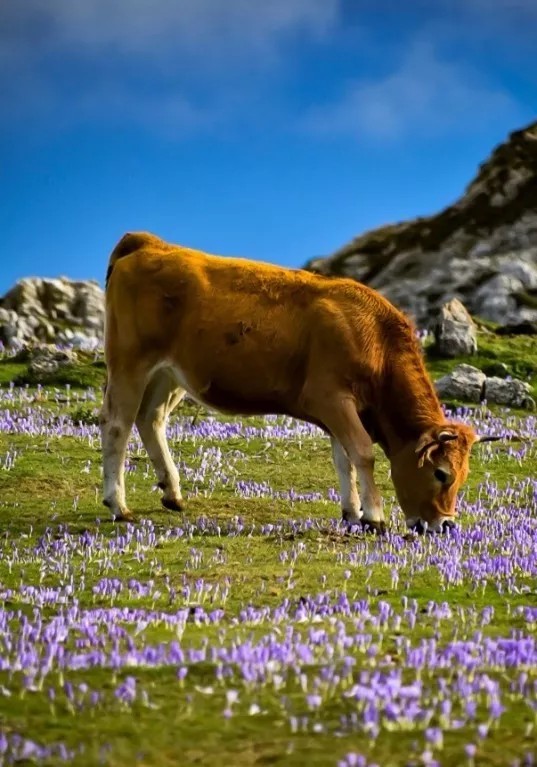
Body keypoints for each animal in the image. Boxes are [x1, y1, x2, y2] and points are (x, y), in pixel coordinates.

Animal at [99, 231, 494, 536]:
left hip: (168, 375)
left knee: (150, 419)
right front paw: (374, 518)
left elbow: (344, 458)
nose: (446, 525)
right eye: (441, 474)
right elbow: (362, 452)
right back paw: (118, 504)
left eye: (462, 475)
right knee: (117, 424)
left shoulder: (341, 411)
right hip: (129, 362)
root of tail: (148, 242)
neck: (377, 342)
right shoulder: (330, 398)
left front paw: (352, 513)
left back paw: (173, 493)